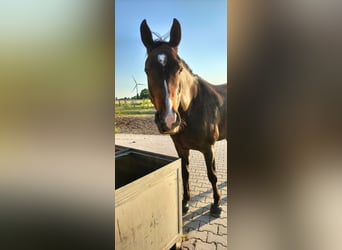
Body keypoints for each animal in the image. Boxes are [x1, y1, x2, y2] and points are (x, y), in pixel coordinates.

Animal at [140, 18, 227, 217]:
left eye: (179, 68)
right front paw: (185, 203)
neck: (194, 107)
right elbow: (185, 173)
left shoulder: (209, 148)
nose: (169, 120)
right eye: (147, 69)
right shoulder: (181, 148)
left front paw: (217, 204)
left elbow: (212, 175)